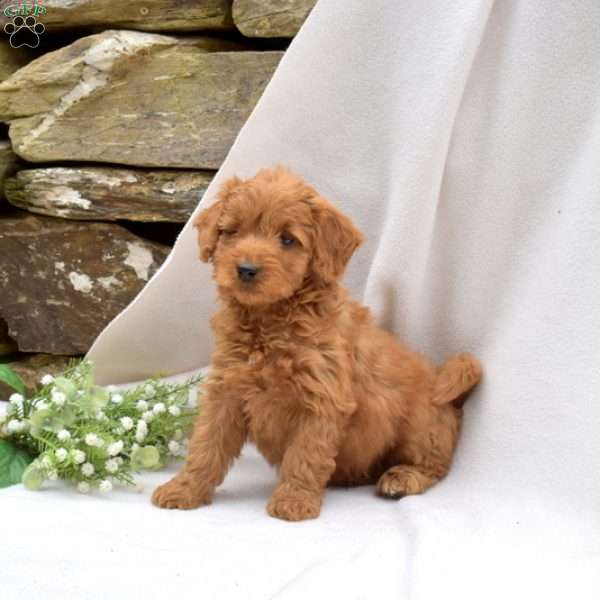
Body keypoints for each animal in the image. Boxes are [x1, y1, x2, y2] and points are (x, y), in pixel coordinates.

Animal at [152, 165, 480, 520]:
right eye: (232, 232)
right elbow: (206, 445)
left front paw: (293, 501)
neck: (271, 322)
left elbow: (306, 454)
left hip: (421, 425)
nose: (246, 269)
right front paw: (183, 489)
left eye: (287, 239)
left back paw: (402, 478)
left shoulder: (322, 399)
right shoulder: (227, 390)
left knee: (434, 464)